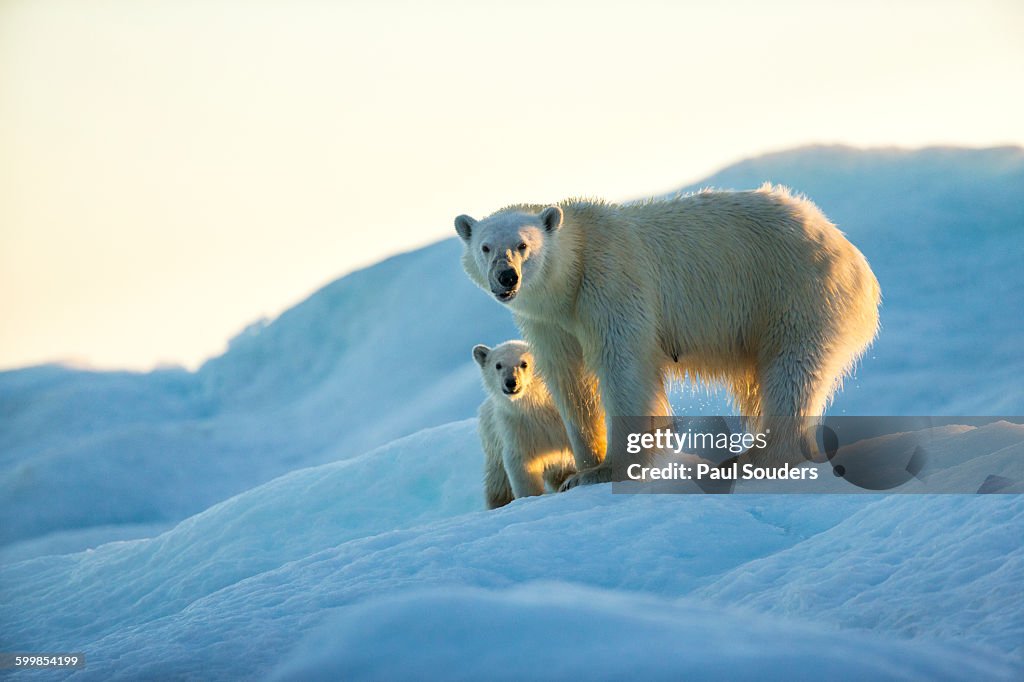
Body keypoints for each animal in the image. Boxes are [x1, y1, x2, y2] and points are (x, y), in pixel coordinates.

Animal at [455, 185, 881, 489]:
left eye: (523, 245)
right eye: (485, 247)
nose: (506, 276)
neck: (573, 274)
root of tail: (846, 247)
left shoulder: (611, 285)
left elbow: (623, 368)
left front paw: (613, 469)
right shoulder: (551, 322)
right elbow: (569, 382)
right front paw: (581, 469)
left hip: (797, 292)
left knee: (792, 372)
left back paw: (754, 460)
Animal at [473, 340, 577, 508]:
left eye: (524, 363)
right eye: (498, 365)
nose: (511, 382)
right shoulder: (517, 427)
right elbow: (521, 464)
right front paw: (530, 498)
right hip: (493, 446)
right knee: (498, 485)